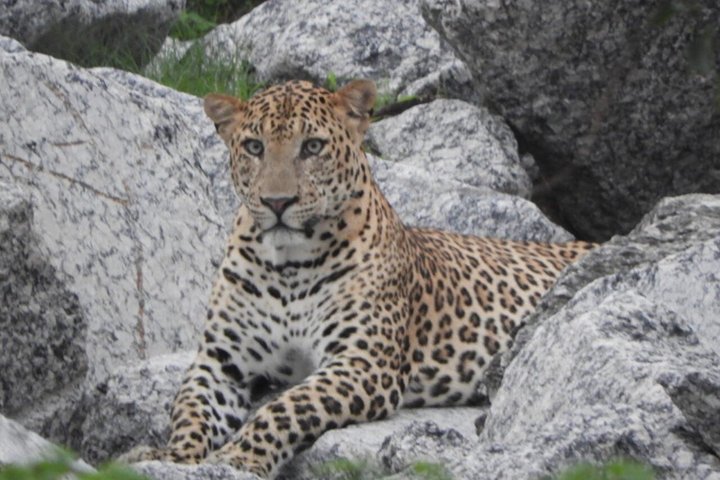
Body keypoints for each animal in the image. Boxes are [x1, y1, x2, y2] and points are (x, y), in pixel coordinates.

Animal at [121, 79, 595, 478]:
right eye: (254, 146)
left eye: (312, 146)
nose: (277, 202)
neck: (287, 267)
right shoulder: (221, 362)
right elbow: (191, 410)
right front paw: (172, 455)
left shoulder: (362, 362)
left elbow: (286, 408)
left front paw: (240, 456)